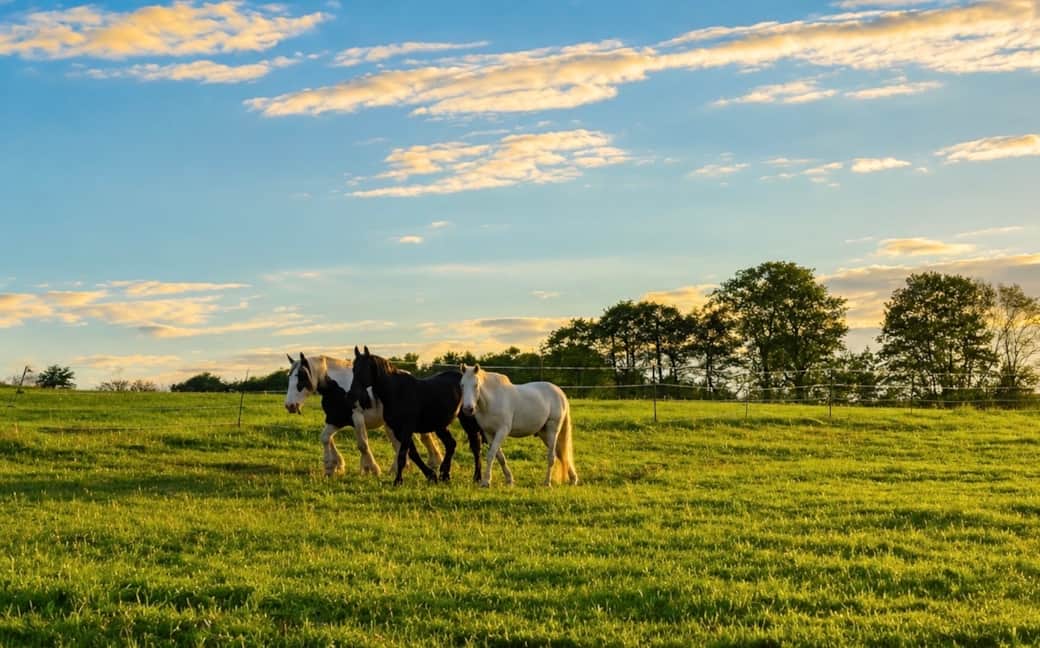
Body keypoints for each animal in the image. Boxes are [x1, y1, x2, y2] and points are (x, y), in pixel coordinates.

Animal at [284, 352, 445, 477]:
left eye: (302, 376)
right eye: (289, 377)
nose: (290, 406)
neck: (338, 388)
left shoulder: (357, 417)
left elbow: (362, 444)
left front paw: (372, 469)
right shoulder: (335, 419)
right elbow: (325, 438)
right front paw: (333, 466)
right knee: (403, 443)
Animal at [347, 346, 509, 486]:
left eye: (364, 370)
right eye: (354, 369)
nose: (351, 395)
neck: (397, 392)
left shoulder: (406, 429)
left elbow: (403, 455)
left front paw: (398, 481)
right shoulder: (399, 431)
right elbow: (412, 454)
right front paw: (431, 475)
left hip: (467, 421)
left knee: (475, 447)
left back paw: (476, 477)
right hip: (440, 425)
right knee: (451, 444)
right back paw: (445, 474)